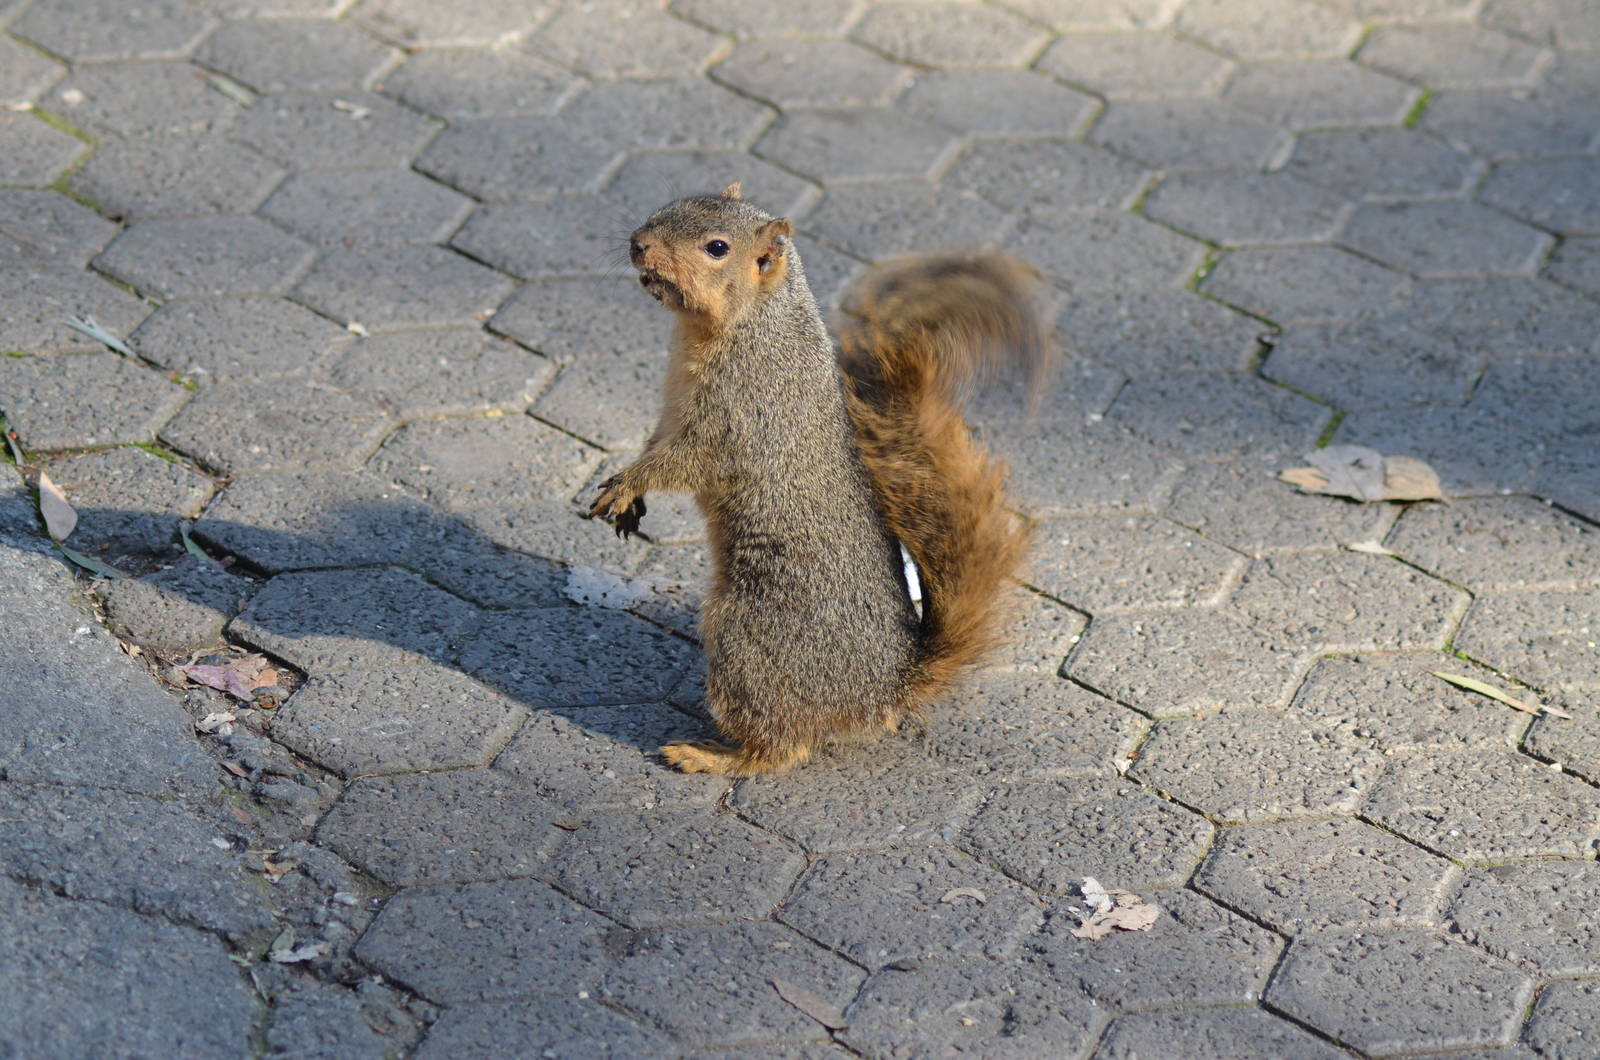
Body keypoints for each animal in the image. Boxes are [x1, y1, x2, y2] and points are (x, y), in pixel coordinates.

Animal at [585, 183, 1051, 776]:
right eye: (675, 204)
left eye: (717, 248)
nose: (637, 243)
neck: (747, 325)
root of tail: (884, 691)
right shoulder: (671, 410)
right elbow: (656, 446)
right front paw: (630, 492)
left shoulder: (742, 414)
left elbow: (689, 461)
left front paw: (630, 483)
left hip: (748, 637)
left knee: (783, 744)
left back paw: (710, 755)